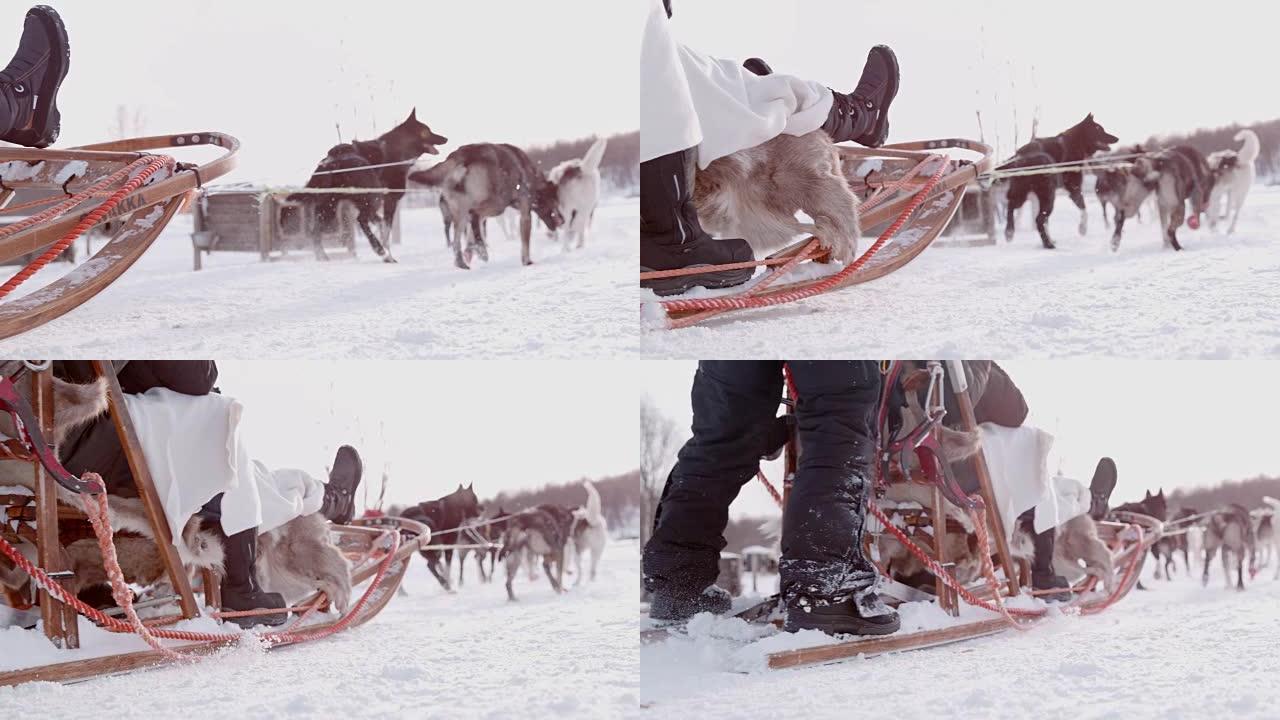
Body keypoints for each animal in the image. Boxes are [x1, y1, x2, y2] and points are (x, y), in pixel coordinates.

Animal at [294, 107, 450, 262]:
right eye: (427, 130)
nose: (446, 138)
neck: (396, 150)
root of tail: (334, 161)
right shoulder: (390, 200)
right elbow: (385, 231)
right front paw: (388, 254)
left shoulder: (365, 203)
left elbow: (380, 225)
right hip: (370, 198)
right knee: (361, 219)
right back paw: (378, 249)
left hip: (329, 205)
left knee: (316, 230)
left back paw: (322, 256)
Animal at [409, 142, 565, 269]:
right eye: (556, 203)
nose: (563, 220)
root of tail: (462, 154)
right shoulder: (525, 214)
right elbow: (525, 242)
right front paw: (527, 261)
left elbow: (471, 235)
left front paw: (470, 250)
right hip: (498, 203)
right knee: (474, 215)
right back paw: (481, 250)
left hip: (461, 212)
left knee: (458, 238)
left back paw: (463, 260)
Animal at [998, 112, 1121, 245]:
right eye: (1100, 129)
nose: (1117, 138)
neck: (1075, 142)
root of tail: (1022, 156)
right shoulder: (1074, 187)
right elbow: (1084, 209)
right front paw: (1082, 228)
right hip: (1048, 195)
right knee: (1039, 218)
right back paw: (1047, 244)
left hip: (1022, 191)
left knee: (1012, 207)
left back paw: (1009, 232)